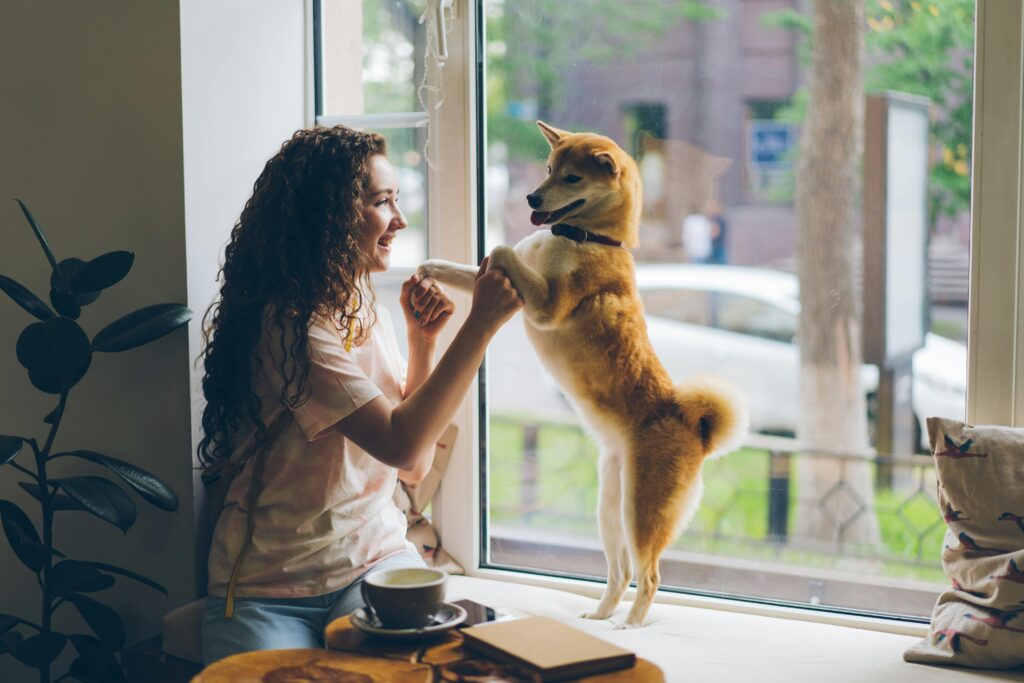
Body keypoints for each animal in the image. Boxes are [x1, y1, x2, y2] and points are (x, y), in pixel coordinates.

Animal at [413, 121, 745, 626]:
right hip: (610, 509)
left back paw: (630, 627)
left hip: (641, 512)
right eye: (550, 168)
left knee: (650, 576)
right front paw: (432, 266)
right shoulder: (514, 286)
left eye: (572, 178)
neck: (586, 237)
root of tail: (696, 429)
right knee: (620, 573)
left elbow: (500, 248)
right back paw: (600, 617)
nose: (531, 197)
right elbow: (472, 267)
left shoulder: (546, 304)